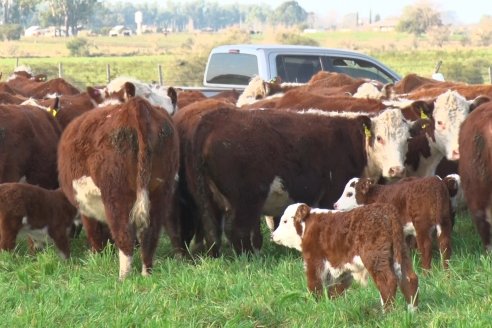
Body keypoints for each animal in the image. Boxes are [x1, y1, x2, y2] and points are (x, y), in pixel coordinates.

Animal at [57, 95, 181, 280]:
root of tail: (137, 106)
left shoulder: (86, 208)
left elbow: (94, 234)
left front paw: (96, 258)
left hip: (117, 196)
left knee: (125, 237)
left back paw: (123, 278)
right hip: (160, 193)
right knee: (150, 237)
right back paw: (146, 274)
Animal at [177, 106, 416, 255]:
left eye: (407, 140)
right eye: (379, 138)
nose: (396, 169)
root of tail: (212, 120)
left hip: (207, 199)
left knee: (211, 229)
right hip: (245, 200)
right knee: (237, 230)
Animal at [270, 202, 418, 312]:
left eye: (284, 221)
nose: (272, 235)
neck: (308, 225)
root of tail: (386, 210)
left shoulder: (314, 259)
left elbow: (315, 284)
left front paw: (316, 305)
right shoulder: (341, 266)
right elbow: (335, 289)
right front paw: (331, 306)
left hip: (376, 257)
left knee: (387, 282)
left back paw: (387, 313)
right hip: (402, 252)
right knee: (409, 279)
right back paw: (412, 311)